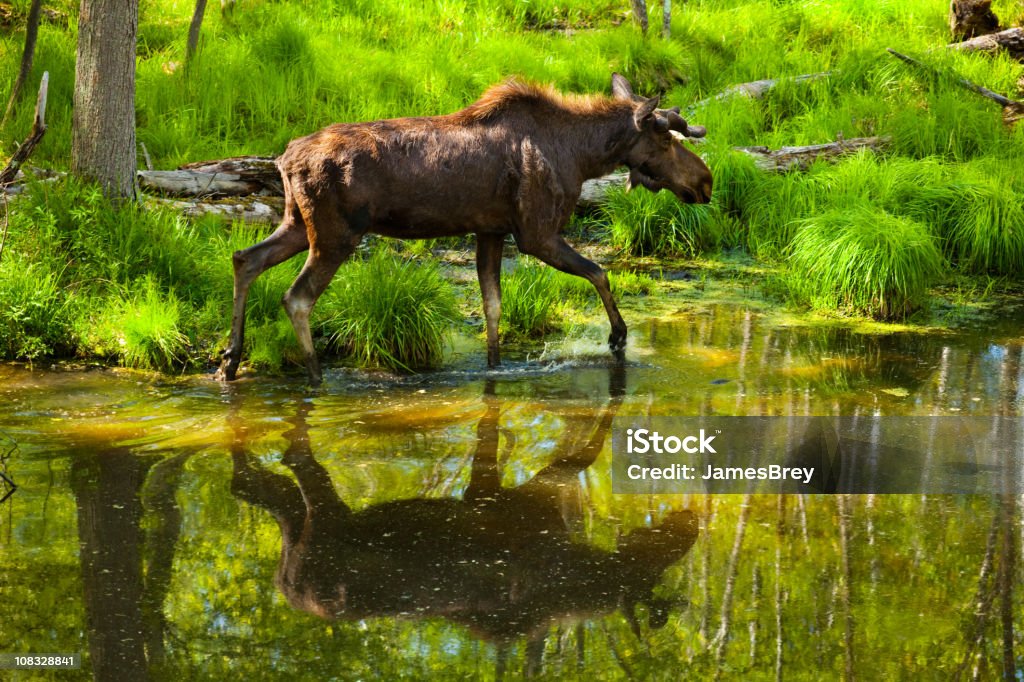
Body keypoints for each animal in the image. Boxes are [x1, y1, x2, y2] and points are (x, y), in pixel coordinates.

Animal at [216, 74, 712, 385]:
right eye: (665, 138)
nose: (706, 181)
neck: (583, 156)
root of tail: (284, 158)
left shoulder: (490, 230)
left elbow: (492, 307)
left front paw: (495, 366)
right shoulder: (535, 234)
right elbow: (599, 272)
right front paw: (618, 336)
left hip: (297, 223)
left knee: (246, 259)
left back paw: (229, 361)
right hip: (335, 234)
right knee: (296, 297)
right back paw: (315, 377)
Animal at [229, 364, 700, 671]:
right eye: (655, 565)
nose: (692, 526)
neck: (570, 574)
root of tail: (284, 582)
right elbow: (588, 447)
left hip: (294, 521)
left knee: (262, 485)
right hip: (322, 519)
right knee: (294, 472)